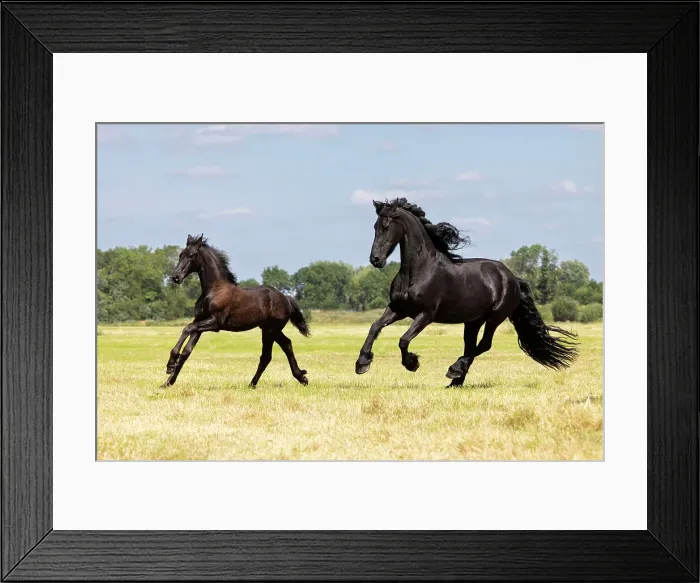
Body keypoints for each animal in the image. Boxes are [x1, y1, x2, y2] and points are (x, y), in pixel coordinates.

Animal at [161, 234, 310, 389]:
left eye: (191, 255)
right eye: (180, 255)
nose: (176, 277)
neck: (215, 290)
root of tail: (286, 298)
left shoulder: (215, 323)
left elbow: (187, 328)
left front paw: (170, 364)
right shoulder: (200, 321)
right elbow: (187, 351)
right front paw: (167, 382)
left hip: (271, 330)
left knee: (269, 354)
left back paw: (256, 383)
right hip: (268, 329)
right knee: (285, 345)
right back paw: (299, 378)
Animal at [354, 198, 579, 387]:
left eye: (386, 226)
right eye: (375, 226)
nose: (375, 260)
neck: (418, 270)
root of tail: (513, 278)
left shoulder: (426, 314)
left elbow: (403, 340)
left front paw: (412, 363)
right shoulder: (397, 309)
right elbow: (374, 327)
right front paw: (362, 363)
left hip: (495, 317)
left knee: (484, 345)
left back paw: (454, 371)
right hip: (473, 321)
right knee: (471, 347)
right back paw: (456, 380)